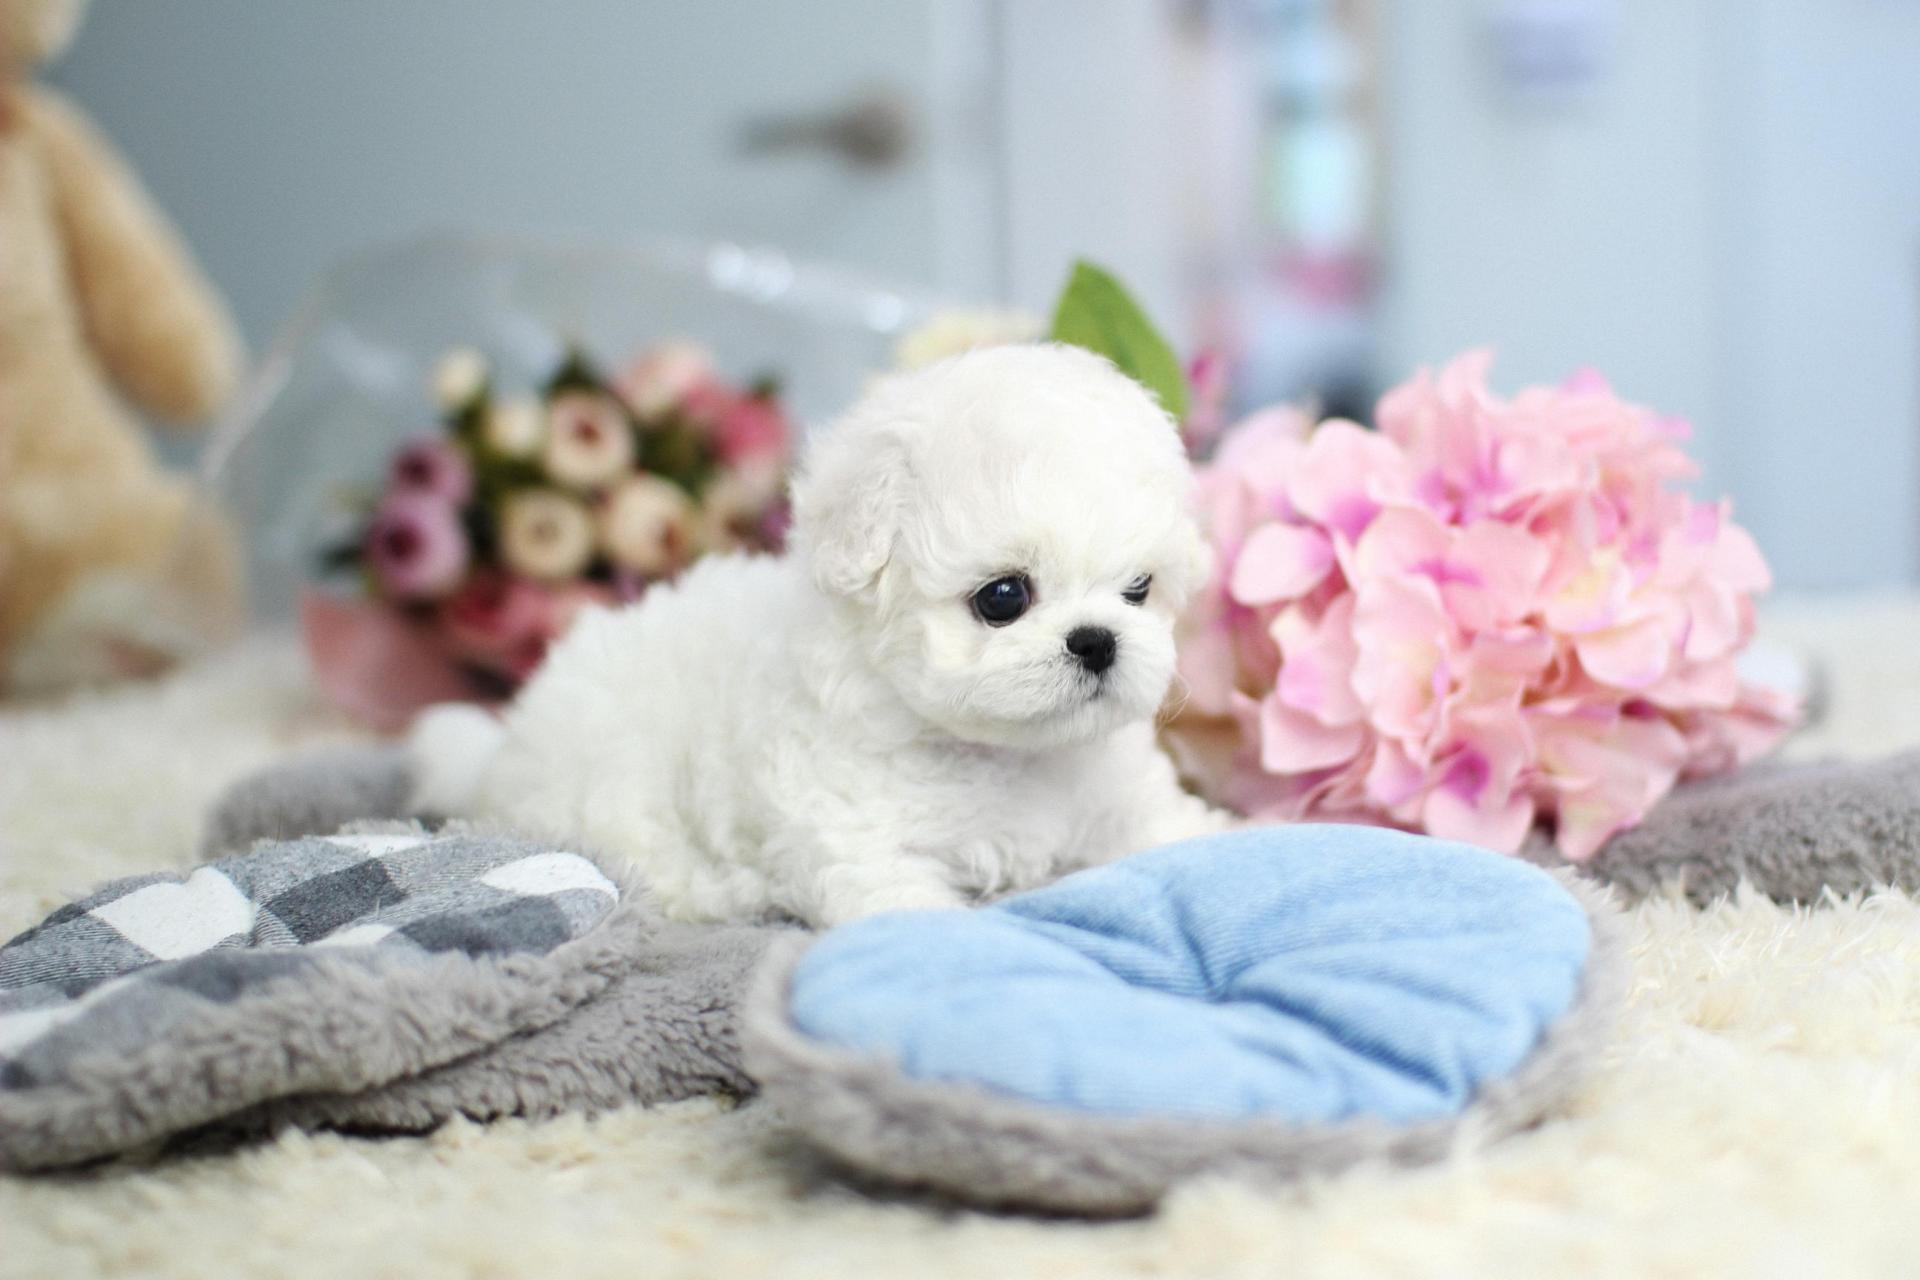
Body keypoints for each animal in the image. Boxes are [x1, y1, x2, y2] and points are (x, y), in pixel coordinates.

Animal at [409, 343, 1225, 926]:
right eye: (1003, 598)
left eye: (1138, 590)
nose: (1097, 640)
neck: (1005, 757)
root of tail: (505, 746)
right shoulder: (852, 832)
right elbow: (905, 910)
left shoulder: (1122, 798)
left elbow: (1179, 830)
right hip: (611, 776)